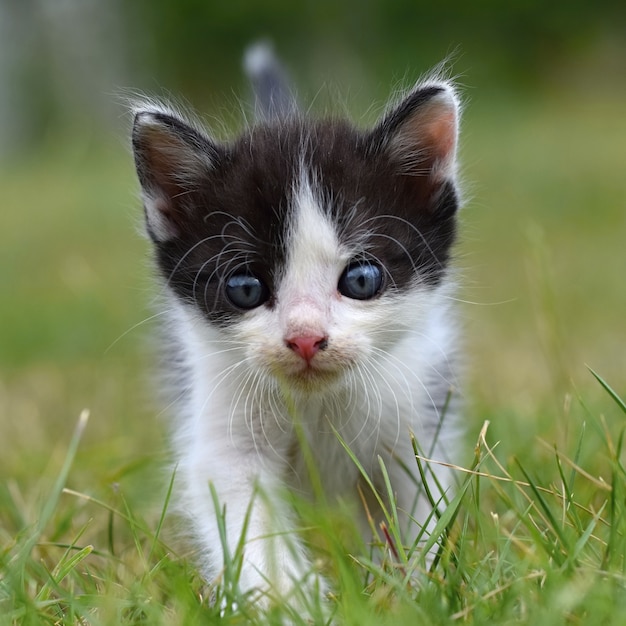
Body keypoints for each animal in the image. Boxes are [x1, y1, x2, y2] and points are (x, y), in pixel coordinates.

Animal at [129, 45, 460, 604]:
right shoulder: (223, 430)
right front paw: (289, 599)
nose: (305, 338)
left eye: (362, 279)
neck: (316, 404)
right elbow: (247, 515)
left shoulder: (416, 411)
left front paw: (413, 590)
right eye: (244, 288)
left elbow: (418, 503)